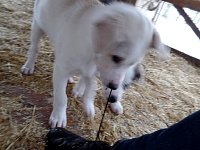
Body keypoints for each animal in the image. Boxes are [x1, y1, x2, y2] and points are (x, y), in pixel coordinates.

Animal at [21, 0, 169, 127]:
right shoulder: (61, 70)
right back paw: (29, 66)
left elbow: (89, 89)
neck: (92, 55)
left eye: (131, 64)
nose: (113, 88)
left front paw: (88, 105)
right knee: (34, 48)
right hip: (37, 25)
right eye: (116, 58)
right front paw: (59, 117)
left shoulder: (92, 72)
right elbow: (62, 97)